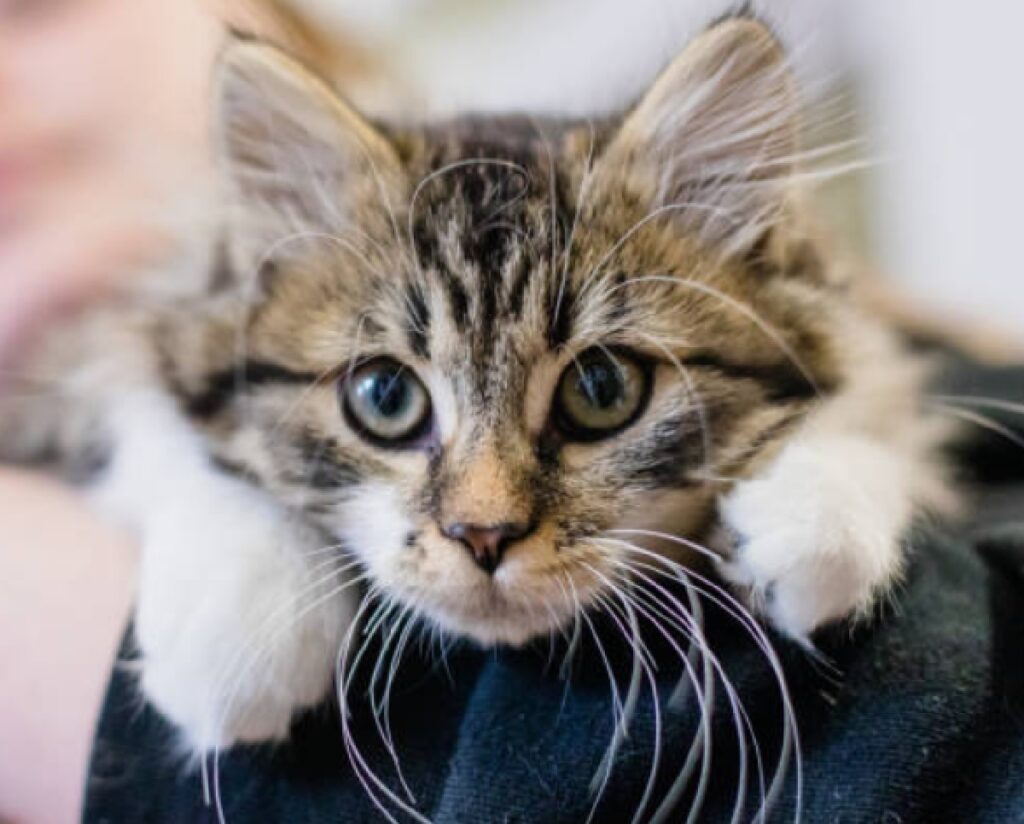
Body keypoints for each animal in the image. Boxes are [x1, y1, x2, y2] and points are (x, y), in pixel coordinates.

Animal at [0, 19, 950, 753]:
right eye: (385, 399)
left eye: (602, 388)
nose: (483, 536)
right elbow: (152, 416)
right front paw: (238, 631)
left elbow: (876, 394)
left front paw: (815, 521)